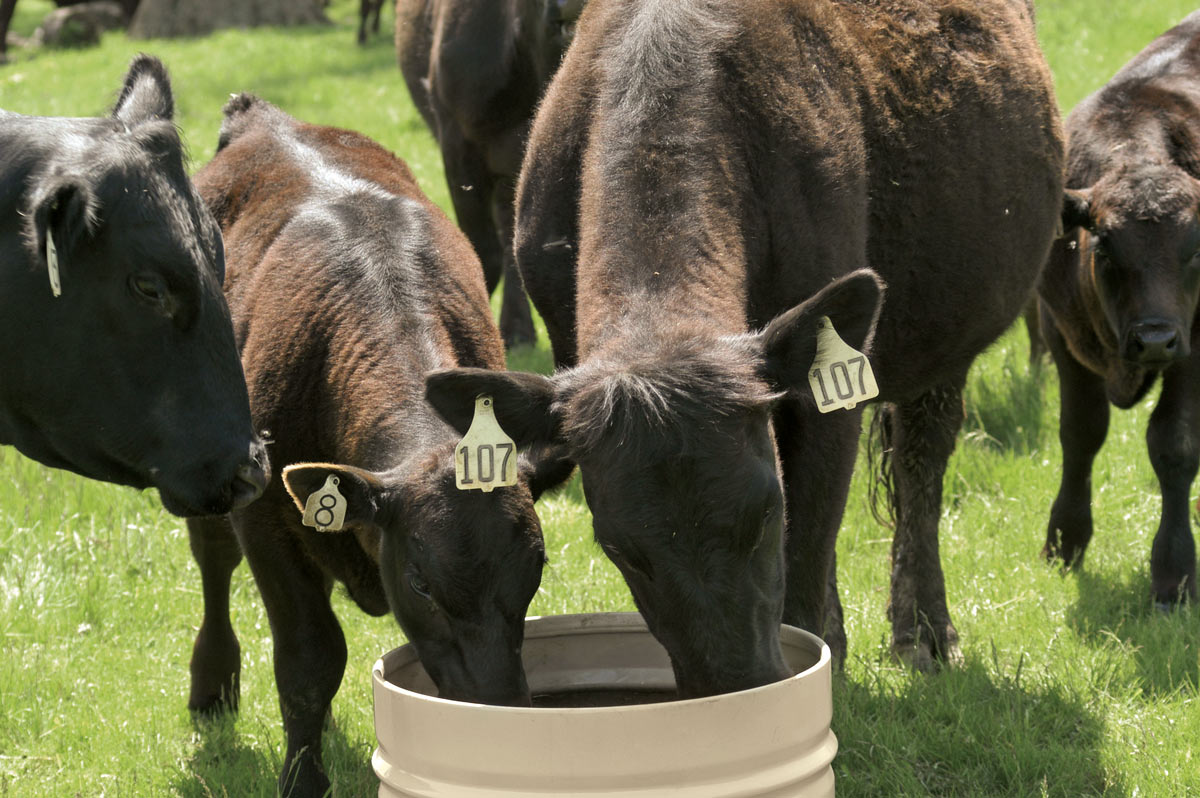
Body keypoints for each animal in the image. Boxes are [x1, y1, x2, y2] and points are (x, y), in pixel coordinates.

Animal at [187, 95, 573, 798]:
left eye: (535, 567)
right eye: (420, 583)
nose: (497, 710)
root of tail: (261, 117)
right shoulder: (266, 523)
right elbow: (310, 659)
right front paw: (302, 780)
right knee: (212, 559)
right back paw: (212, 683)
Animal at [424, 0, 1065, 694]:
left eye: (765, 512)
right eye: (621, 550)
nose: (736, 685)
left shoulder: (824, 401)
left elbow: (809, 554)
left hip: (947, 339)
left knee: (921, 464)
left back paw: (923, 631)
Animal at [1038, 11, 1200, 609]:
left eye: (1197, 248)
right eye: (1105, 246)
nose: (1153, 339)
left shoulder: (1196, 345)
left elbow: (1174, 443)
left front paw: (1174, 574)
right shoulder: (1060, 332)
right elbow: (1080, 433)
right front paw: (1065, 540)